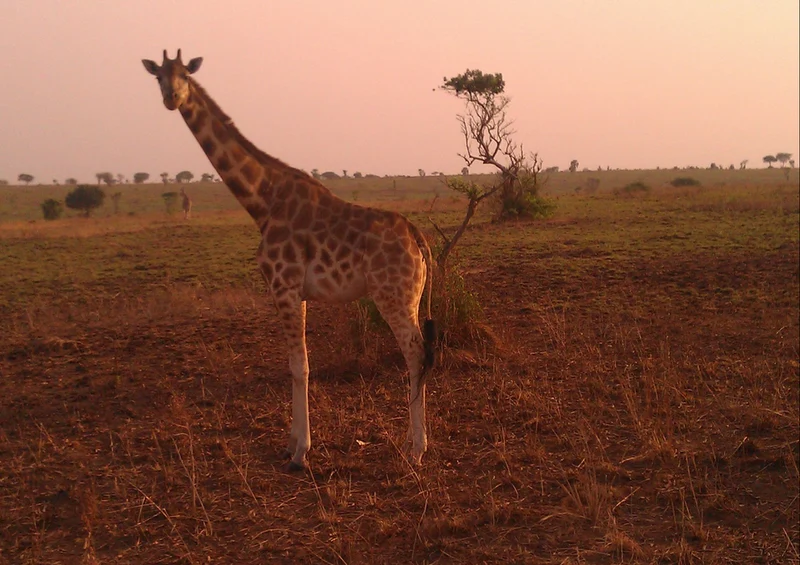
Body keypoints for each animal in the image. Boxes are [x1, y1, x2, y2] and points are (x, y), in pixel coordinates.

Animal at [142, 50, 437, 470]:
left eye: (184, 74)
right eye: (159, 77)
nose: (172, 97)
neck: (262, 201)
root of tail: (418, 237)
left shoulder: (283, 285)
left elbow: (300, 366)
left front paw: (300, 452)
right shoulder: (296, 291)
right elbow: (297, 364)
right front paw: (292, 443)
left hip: (393, 296)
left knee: (416, 353)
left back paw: (416, 448)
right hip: (407, 297)